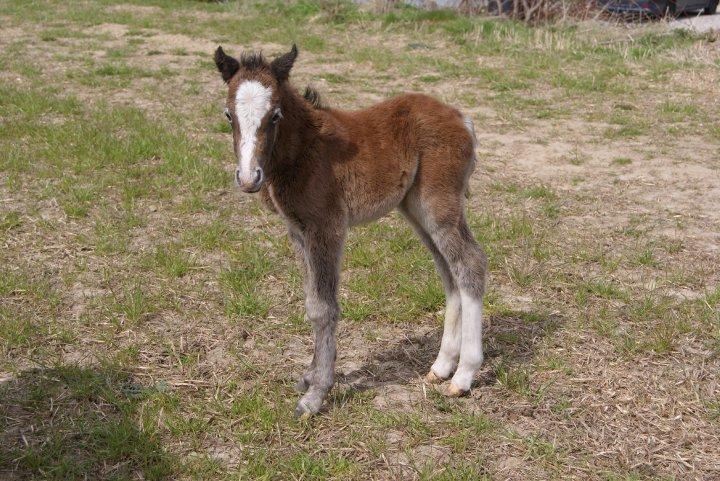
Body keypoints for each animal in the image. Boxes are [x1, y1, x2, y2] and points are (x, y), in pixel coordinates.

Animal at [213, 44, 487, 417]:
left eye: (275, 115)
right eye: (229, 115)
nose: (247, 178)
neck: (304, 149)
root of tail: (461, 117)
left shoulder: (326, 228)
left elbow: (324, 308)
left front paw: (316, 394)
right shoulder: (298, 232)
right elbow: (311, 301)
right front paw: (309, 376)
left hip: (439, 203)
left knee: (469, 263)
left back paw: (463, 376)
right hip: (416, 208)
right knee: (449, 272)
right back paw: (442, 365)